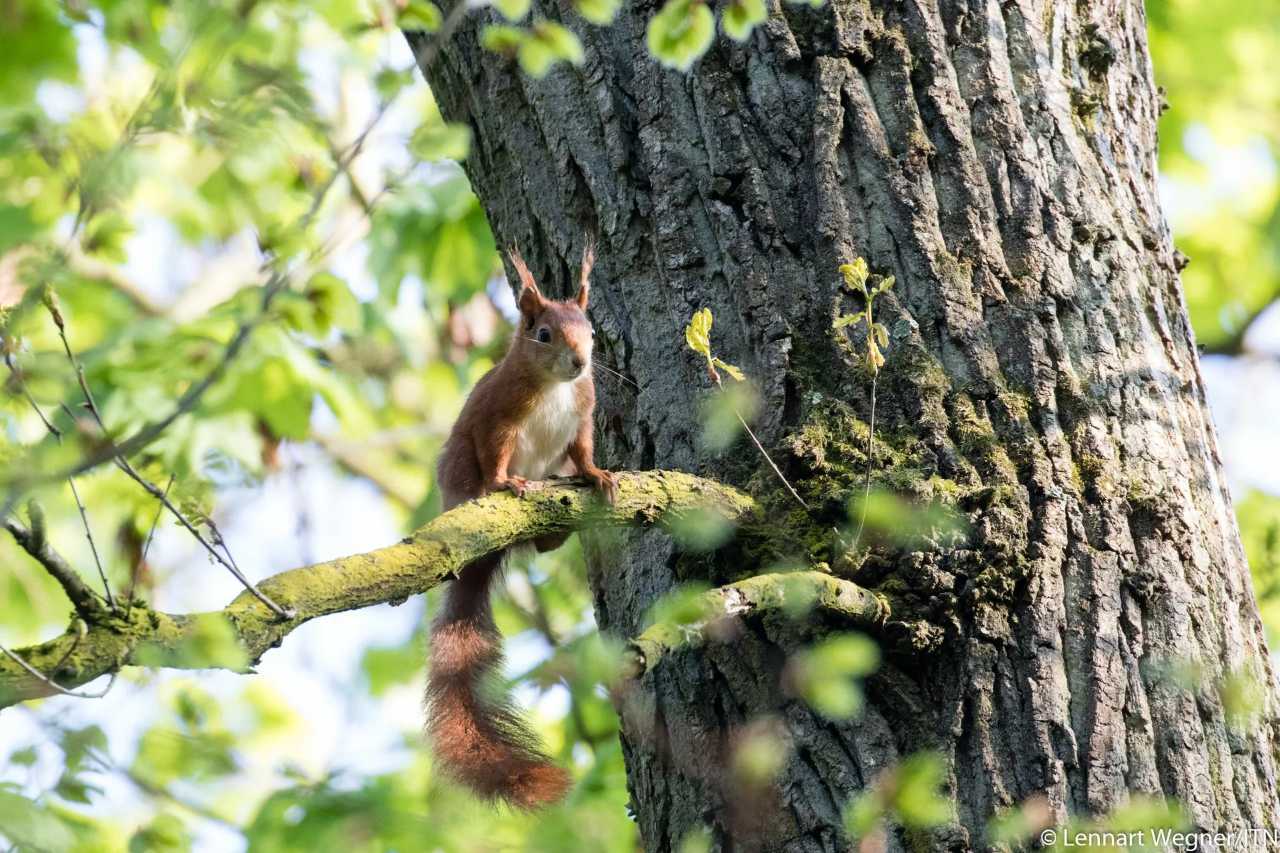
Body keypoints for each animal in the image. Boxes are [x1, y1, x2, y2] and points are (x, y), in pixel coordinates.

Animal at [427, 242, 616, 809]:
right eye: (544, 334)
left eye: (591, 331)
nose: (580, 363)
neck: (555, 387)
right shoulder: (498, 418)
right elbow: (497, 454)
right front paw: (506, 483)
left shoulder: (582, 418)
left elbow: (583, 451)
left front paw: (597, 475)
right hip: (458, 470)